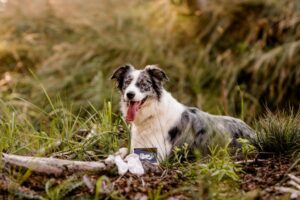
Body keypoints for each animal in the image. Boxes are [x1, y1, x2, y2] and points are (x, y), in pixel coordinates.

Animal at [110, 65, 255, 162]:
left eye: (143, 83)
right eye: (127, 82)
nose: (129, 94)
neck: (153, 113)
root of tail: (253, 132)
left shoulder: (158, 154)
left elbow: (131, 157)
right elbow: (123, 151)